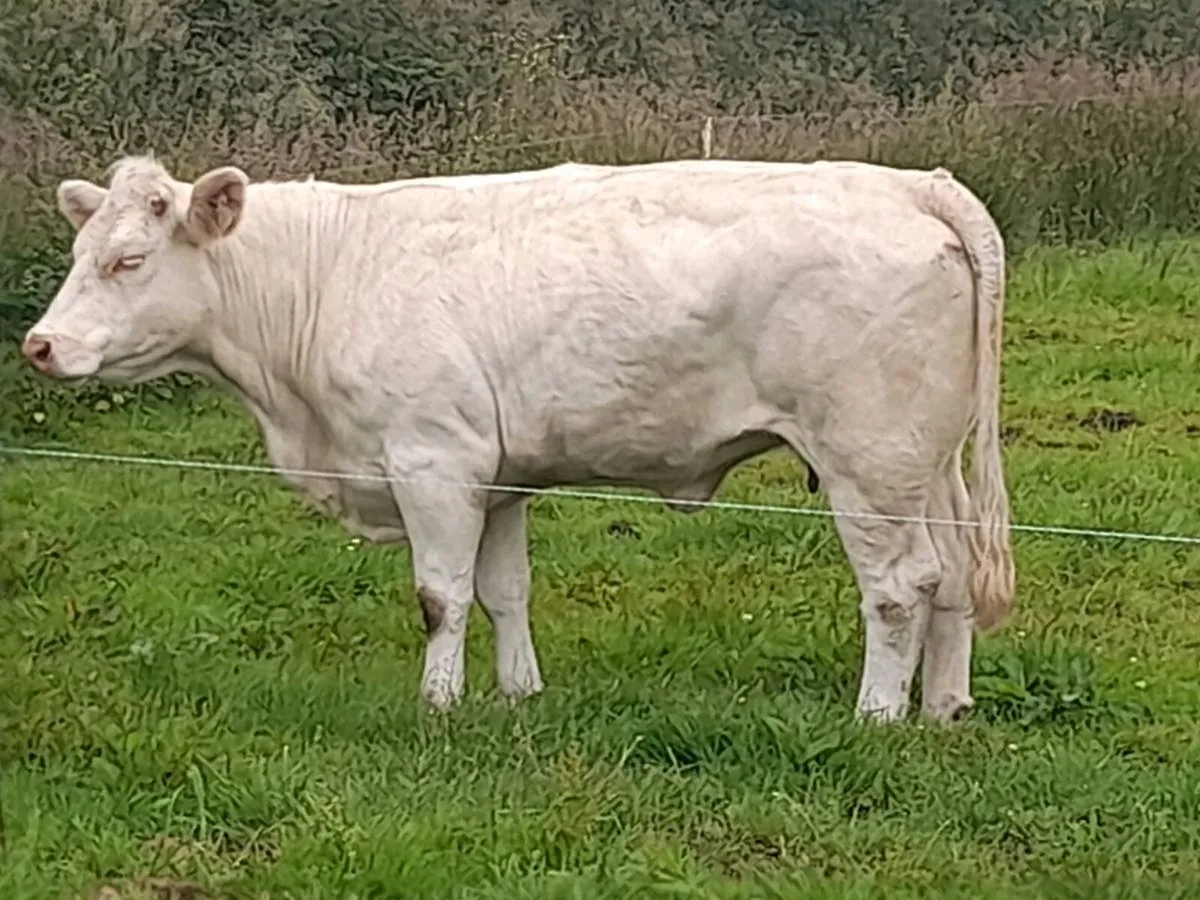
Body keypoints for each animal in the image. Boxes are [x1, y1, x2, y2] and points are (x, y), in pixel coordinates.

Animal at [21, 154, 1015, 723]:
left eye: (129, 261)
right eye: (76, 255)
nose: (39, 345)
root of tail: (909, 182)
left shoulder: (432, 459)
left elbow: (440, 597)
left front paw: (438, 705)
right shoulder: (494, 474)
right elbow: (504, 592)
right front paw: (517, 694)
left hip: (866, 458)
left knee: (899, 585)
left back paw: (878, 715)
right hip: (923, 462)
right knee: (954, 572)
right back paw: (944, 705)